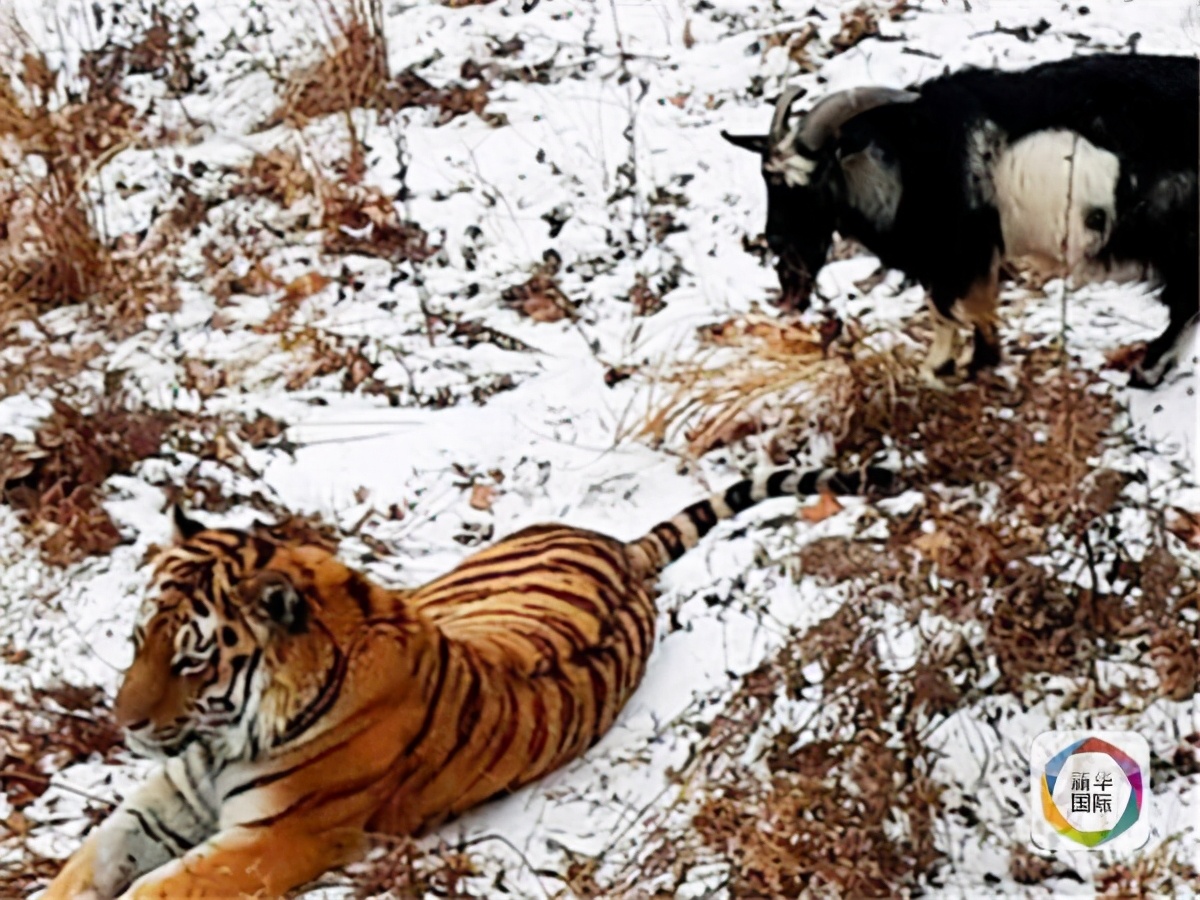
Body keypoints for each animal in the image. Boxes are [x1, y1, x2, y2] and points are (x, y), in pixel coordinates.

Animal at [43, 463, 899, 900]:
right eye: (137, 641)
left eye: (191, 659)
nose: (122, 725)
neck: (224, 737)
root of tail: (617, 548)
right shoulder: (163, 800)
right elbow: (87, 862)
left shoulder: (278, 838)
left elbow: (156, 891)